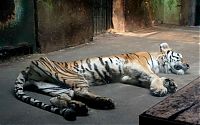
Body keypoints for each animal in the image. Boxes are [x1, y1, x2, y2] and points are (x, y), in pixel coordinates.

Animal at [13, 42, 189, 120]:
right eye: (179, 57)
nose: (187, 65)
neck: (158, 62)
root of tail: (29, 66)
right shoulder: (137, 66)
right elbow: (155, 76)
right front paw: (161, 88)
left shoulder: (129, 76)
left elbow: (155, 78)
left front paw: (170, 83)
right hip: (74, 77)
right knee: (80, 92)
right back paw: (104, 102)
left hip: (54, 86)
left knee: (57, 99)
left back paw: (77, 107)